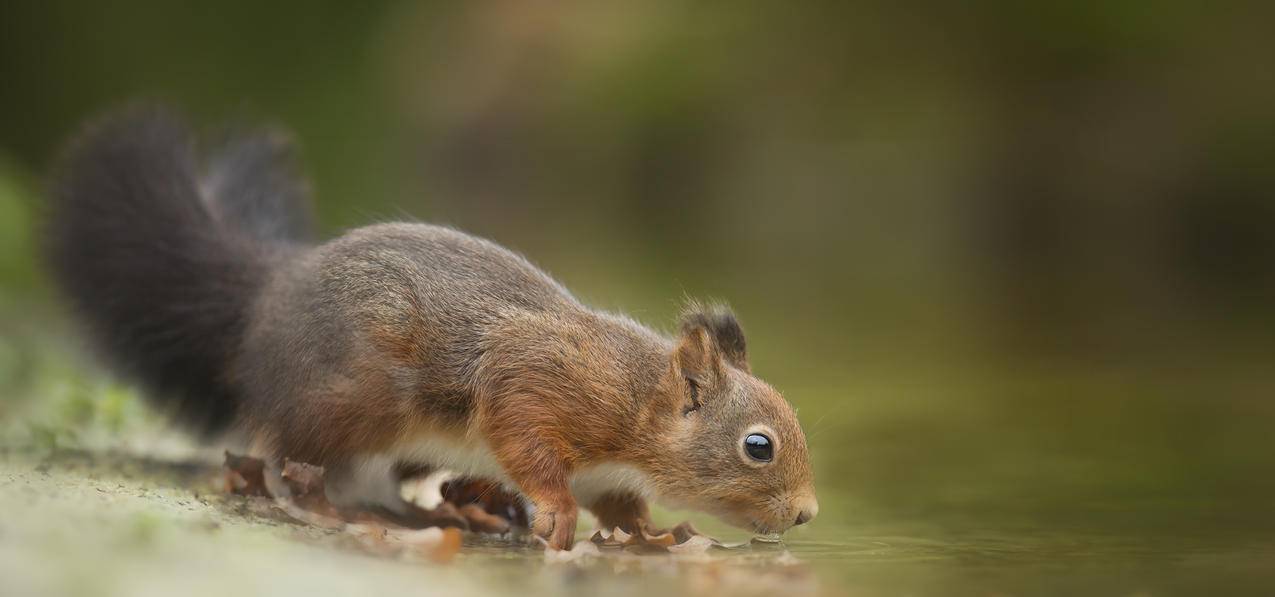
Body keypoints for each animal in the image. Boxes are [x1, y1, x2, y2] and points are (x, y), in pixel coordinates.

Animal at [44, 105, 821, 548]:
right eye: (758, 445)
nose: (808, 515)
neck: (638, 401)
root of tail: (269, 292)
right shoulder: (541, 379)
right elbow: (523, 433)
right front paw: (556, 510)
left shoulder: (611, 468)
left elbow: (622, 505)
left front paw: (650, 531)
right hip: (347, 402)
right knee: (288, 457)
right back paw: (337, 509)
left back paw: (473, 510)